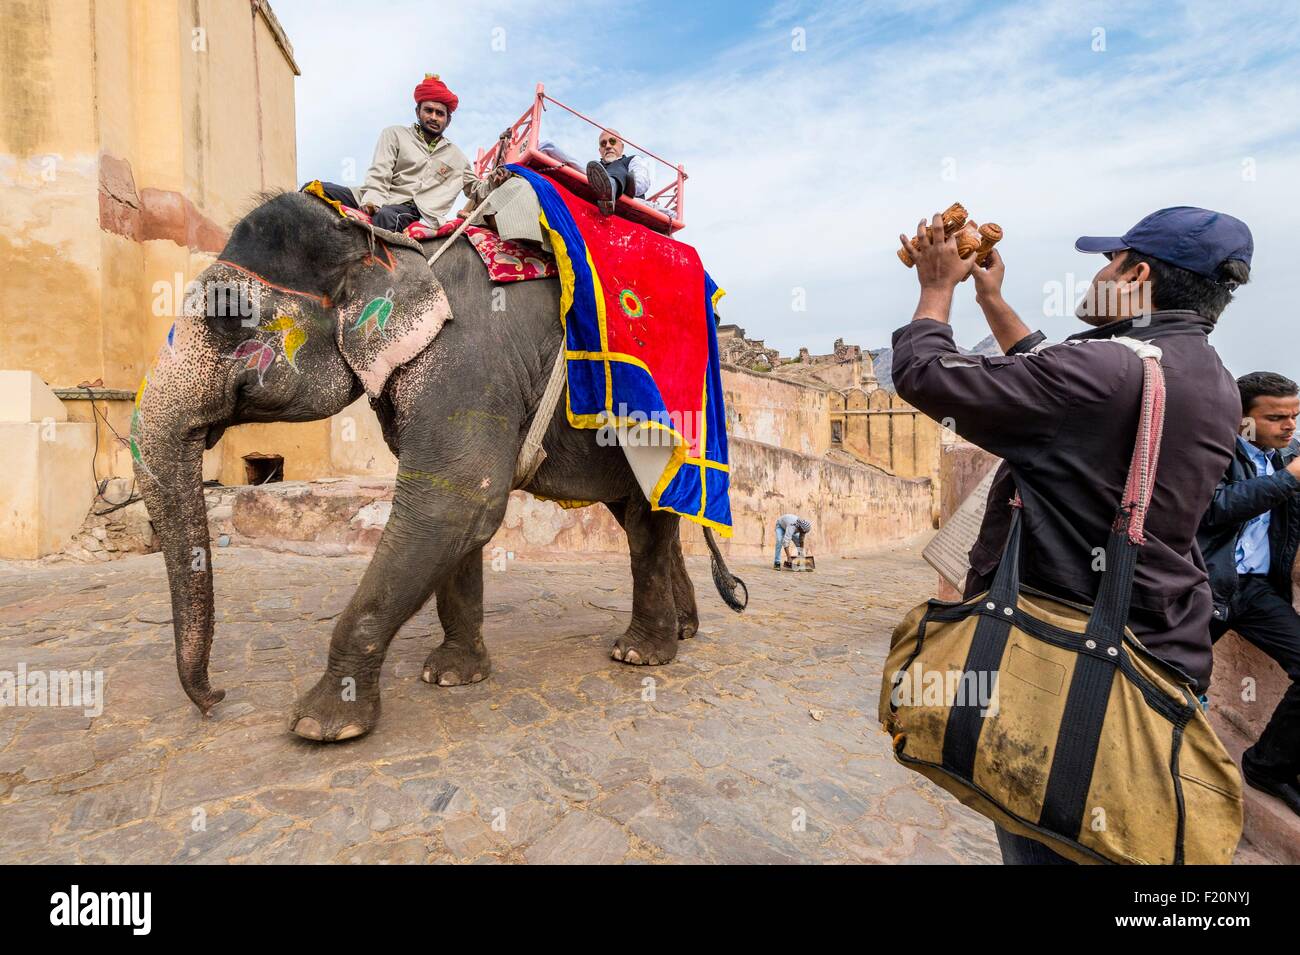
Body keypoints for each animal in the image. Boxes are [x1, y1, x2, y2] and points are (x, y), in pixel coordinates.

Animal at [133, 188, 745, 742]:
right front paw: (452, 675)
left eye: (228, 317)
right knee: (645, 517)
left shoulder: (467, 359)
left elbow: (455, 502)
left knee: (647, 524)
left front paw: (321, 725)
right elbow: (456, 517)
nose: (215, 698)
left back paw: (641, 655)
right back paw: (682, 632)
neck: (385, 243)